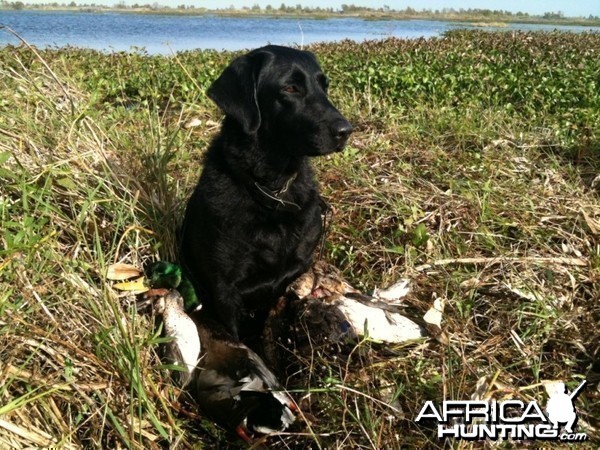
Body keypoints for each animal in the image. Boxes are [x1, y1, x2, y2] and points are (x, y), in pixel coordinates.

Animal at [180, 46, 354, 342]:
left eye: (324, 86)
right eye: (290, 87)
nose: (346, 131)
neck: (273, 190)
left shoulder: (294, 271)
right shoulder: (224, 289)